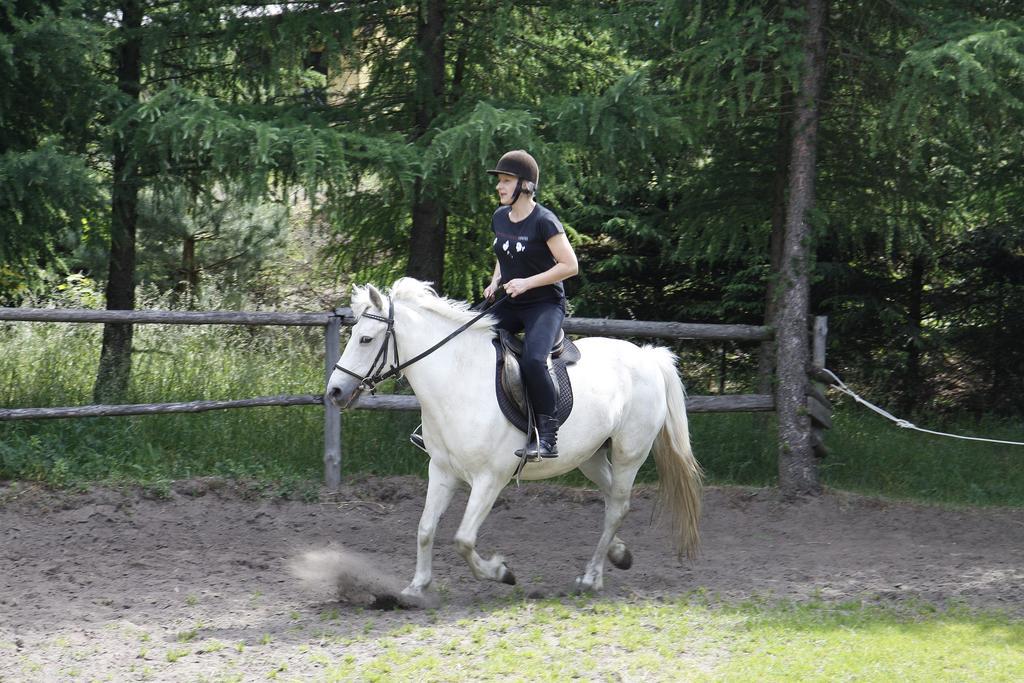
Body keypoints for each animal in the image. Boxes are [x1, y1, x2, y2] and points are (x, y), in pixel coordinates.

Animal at [323, 278, 700, 598]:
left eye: (366, 339)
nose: (335, 392)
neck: (458, 378)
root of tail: (648, 356)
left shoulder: (490, 478)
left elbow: (463, 539)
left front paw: (501, 572)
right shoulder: (442, 470)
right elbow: (426, 528)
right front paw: (416, 588)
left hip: (628, 453)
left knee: (617, 506)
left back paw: (592, 577)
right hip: (589, 456)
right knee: (614, 500)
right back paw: (619, 553)